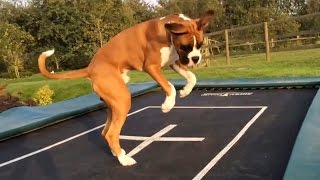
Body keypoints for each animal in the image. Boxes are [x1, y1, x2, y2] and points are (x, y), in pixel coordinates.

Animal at [37, 10, 214, 166]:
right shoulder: (152, 67)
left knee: (105, 132)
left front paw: (185, 91)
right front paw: (168, 105)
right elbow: (169, 86)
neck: (167, 32)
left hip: (114, 104)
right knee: (111, 134)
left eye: (200, 45)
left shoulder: (175, 62)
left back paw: (118, 153)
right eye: (185, 46)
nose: (196, 58)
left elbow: (192, 78)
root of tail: (90, 68)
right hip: (123, 100)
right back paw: (124, 159)